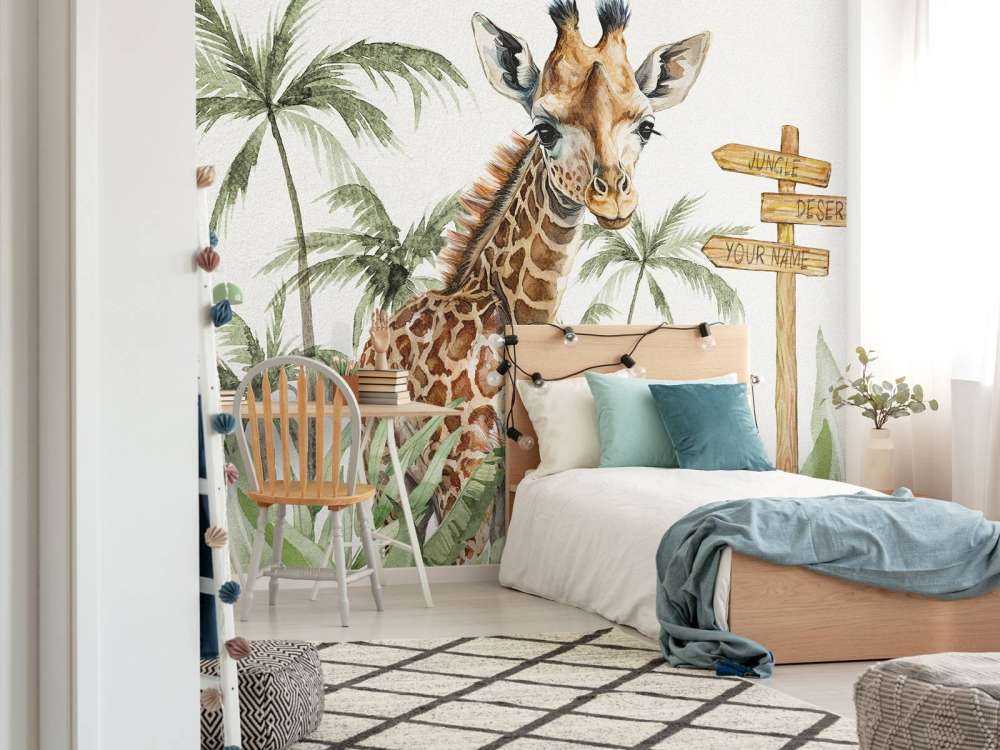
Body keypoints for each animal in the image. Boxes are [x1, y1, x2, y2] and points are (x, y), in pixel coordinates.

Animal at [362, 0, 711, 560]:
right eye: (544, 128)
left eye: (647, 126)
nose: (614, 198)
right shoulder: (465, 474)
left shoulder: (494, 482)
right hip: (391, 467)